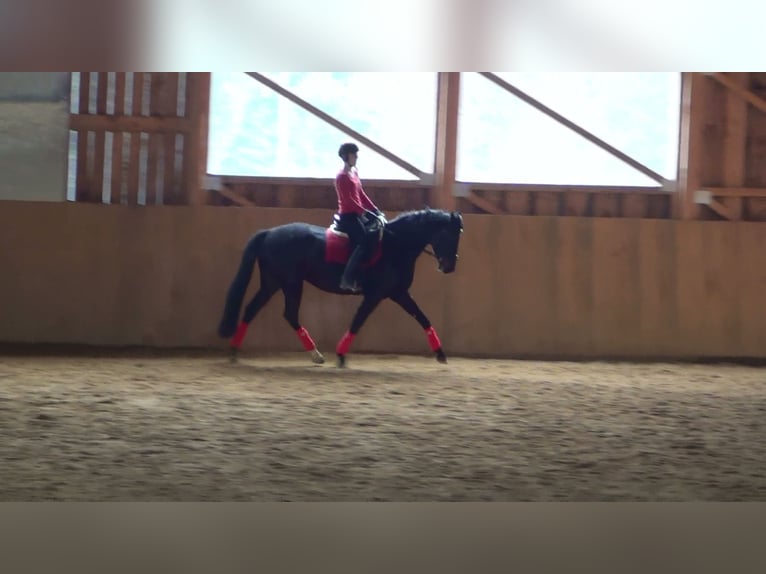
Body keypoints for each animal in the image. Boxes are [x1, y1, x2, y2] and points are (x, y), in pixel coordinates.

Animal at [219, 209, 464, 366]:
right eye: (449, 234)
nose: (449, 266)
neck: (395, 246)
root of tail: (269, 233)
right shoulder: (376, 295)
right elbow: (357, 321)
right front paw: (341, 355)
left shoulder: (398, 293)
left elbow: (423, 318)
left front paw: (441, 353)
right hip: (290, 283)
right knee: (288, 314)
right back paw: (316, 354)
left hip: (273, 283)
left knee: (253, 309)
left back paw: (234, 351)